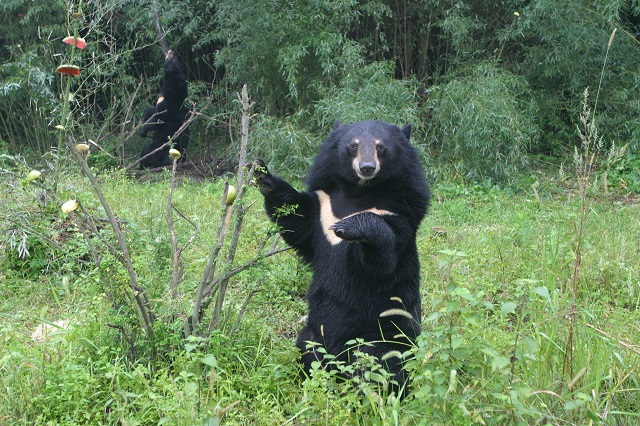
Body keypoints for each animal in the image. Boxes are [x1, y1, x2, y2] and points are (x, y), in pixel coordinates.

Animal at [255, 117, 430, 396]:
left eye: (381, 147)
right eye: (353, 146)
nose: (367, 168)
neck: (359, 192)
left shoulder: (400, 210)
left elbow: (385, 259)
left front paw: (350, 226)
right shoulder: (322, 207)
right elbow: (297, 219)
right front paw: (263, 174)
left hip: (380, 333)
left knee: (379, 365)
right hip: (314, 334)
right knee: (309, 353)